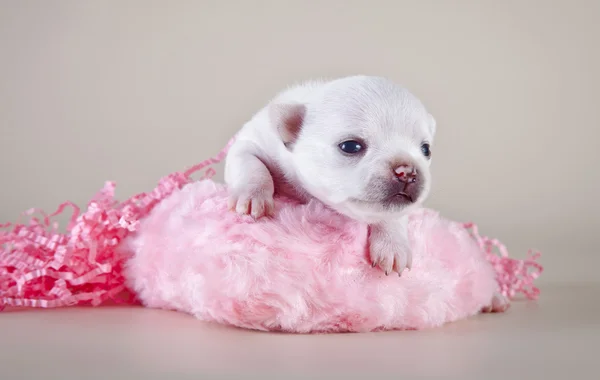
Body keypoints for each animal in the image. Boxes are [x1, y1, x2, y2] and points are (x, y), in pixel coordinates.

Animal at [223, 75, 434, 276]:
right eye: (350, 146)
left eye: (426, 150)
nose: (408, 171)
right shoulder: (250, 143)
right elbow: (253, 166)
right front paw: (253, 196)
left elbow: (394, 215)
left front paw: (392, 245)